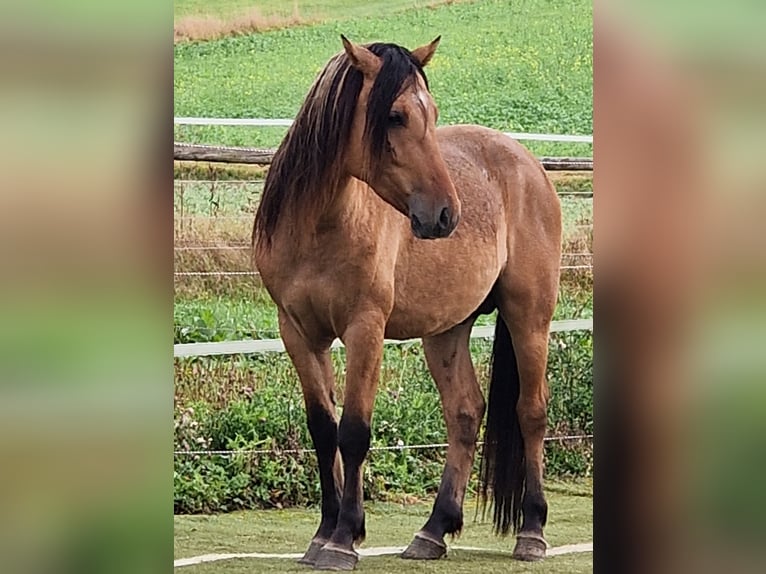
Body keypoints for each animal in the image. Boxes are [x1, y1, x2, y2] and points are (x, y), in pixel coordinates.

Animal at [255, 36, 560, 572]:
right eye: (395, 116)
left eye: (431, 113)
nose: (444, 215)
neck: (322, 227)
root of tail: (529, 163)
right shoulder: (297, 332)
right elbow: (323, 430)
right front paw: (323, 534)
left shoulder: (365, 329)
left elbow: (354, 431)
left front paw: (344, 539)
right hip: (445, 330)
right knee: (464, 413)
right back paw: (433, 531)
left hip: (530, 318)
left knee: (531, 412)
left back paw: (532, 532)